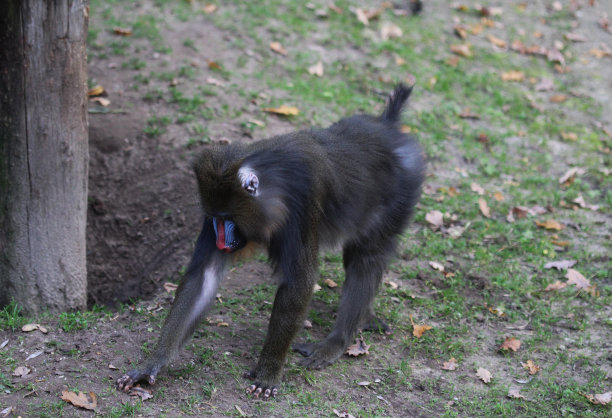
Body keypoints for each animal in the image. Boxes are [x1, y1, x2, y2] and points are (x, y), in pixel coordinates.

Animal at [118, 81, 426, 398]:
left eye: (228, 217)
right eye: (215, 217)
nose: (220, 241)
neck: (275, 182)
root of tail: (388, 126)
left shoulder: (302, 205)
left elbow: (299, 283)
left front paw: (268, 373)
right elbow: (202, 278)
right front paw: (151, 364)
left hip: (397, 198)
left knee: (366, 259)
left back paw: (336, 342)